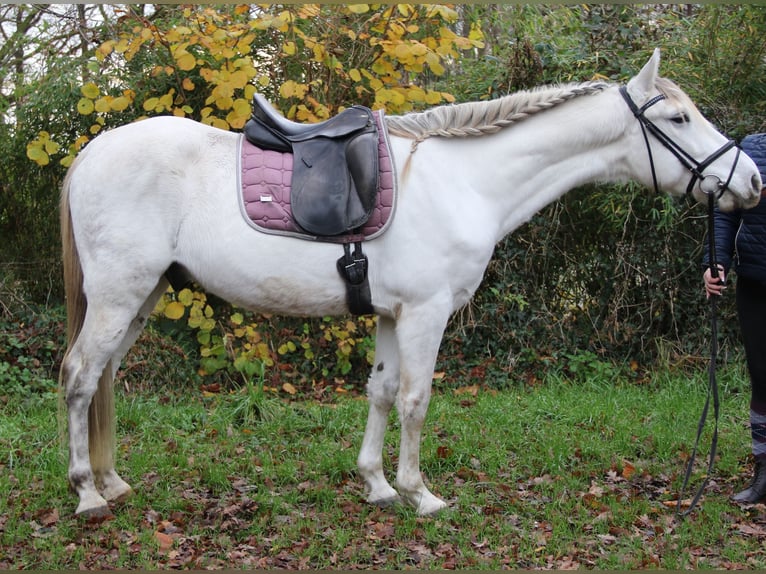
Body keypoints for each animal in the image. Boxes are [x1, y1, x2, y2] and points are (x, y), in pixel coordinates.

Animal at [58, 48, 760, 516]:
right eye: (677, 119)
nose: (751, 181)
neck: (463, 182)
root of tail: (92, 152)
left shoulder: (393, 315)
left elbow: (380, 391)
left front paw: (375, 484)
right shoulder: (427, 312)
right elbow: (416, 400)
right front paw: (421, 494)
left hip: (143, 297)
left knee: (104, 379)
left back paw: (112, 481)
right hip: (119, 297)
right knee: (80, 377)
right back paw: (87, 493)